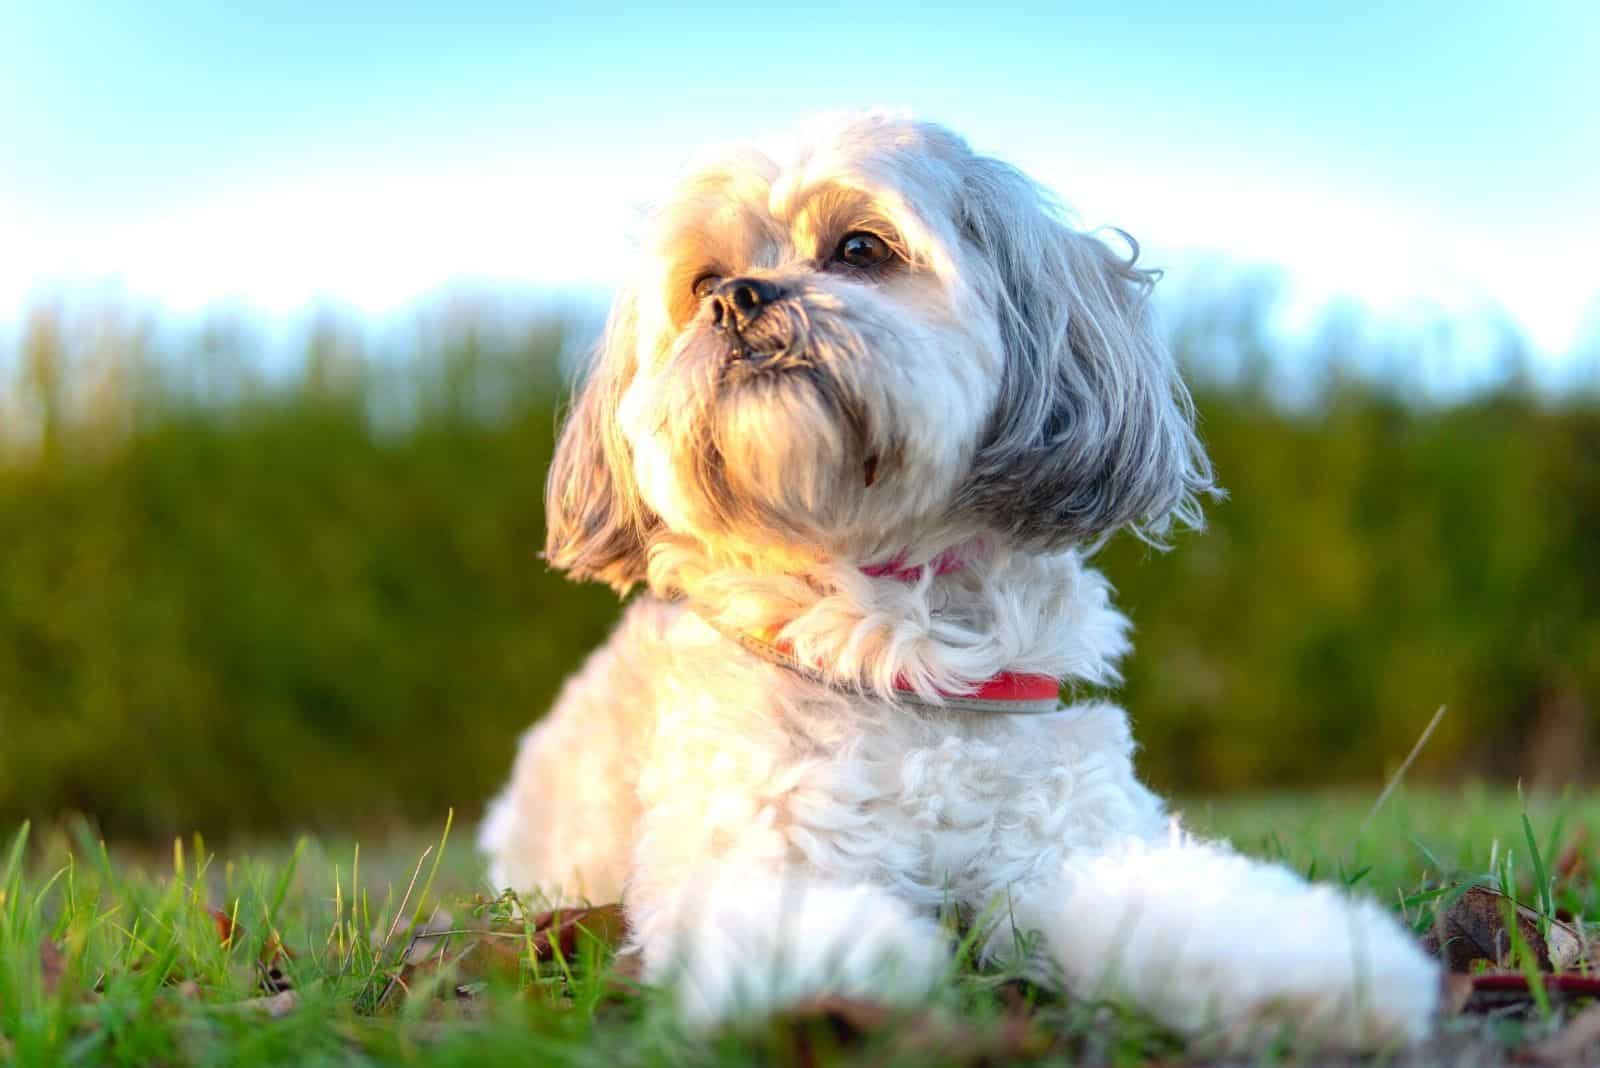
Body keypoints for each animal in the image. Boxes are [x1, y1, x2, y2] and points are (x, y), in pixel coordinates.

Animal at [473, 112, 1440, 1048]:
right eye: (703, 277)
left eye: (860, 248)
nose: (736, 298)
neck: (899, 642)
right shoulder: (754, 836)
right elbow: (790, 915)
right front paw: (823, 985)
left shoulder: (1072, 843)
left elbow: (1189, 907)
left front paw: (1316, 973)